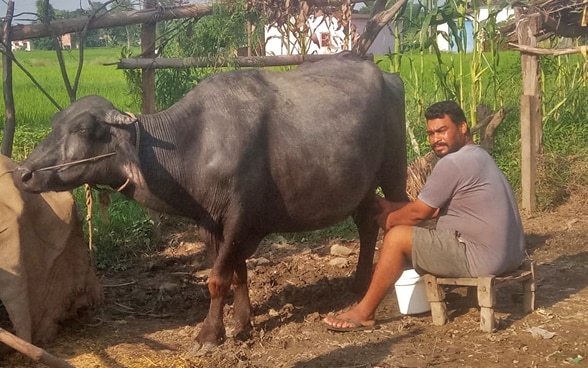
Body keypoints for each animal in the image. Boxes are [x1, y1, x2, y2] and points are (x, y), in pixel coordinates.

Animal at [14, 51, 408, 354]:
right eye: (56, 123)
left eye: (83, 129)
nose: (23, 173)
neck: (195, 143)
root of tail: (389, 77)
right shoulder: (211, 223)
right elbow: (238, 273)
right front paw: (243, 322)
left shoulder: (239, 217)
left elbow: (218, 279)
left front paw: (209, 335)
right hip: (361, 184)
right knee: (366, 221)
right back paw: (358, 282)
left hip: (394, 172)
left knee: (398, 214)